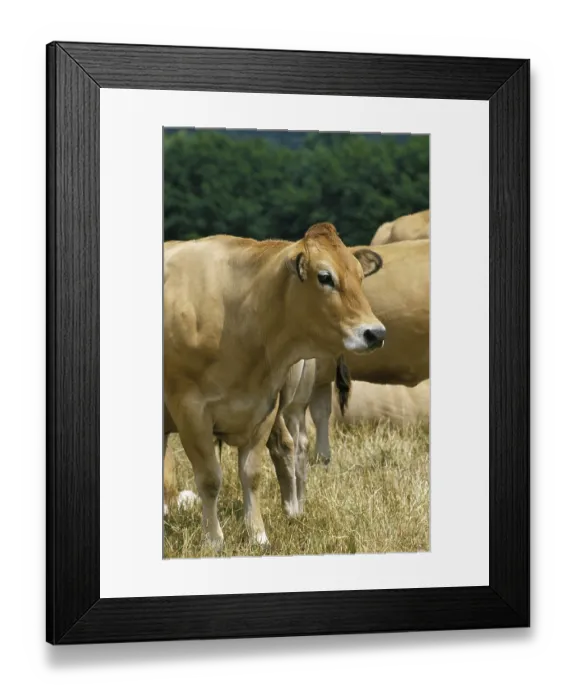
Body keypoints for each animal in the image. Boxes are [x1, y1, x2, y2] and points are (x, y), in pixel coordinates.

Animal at [163, 223, 386, 548]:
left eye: (359, 276)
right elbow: (210, 478)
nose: (376, 333)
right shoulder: (190, 411)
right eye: (325, 277)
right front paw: (213, 539)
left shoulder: (264, 407)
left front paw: (257, 534)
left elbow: (251, 474)